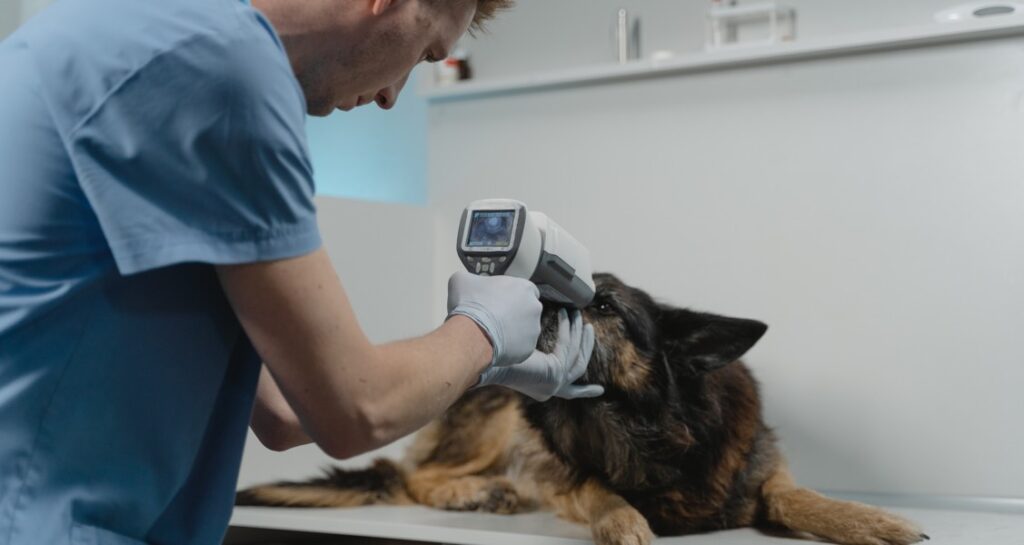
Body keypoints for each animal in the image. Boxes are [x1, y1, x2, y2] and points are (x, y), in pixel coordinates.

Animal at [235, 272, 925, 545]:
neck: (650, 436)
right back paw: (473, 493)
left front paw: (869, 520)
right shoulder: (562, 472)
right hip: (501, 419)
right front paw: (624, 522)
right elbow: (596, 489)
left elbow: (794, 495)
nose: (529, 296)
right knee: (415, 475)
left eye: (606, 305)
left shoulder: (758, 468)